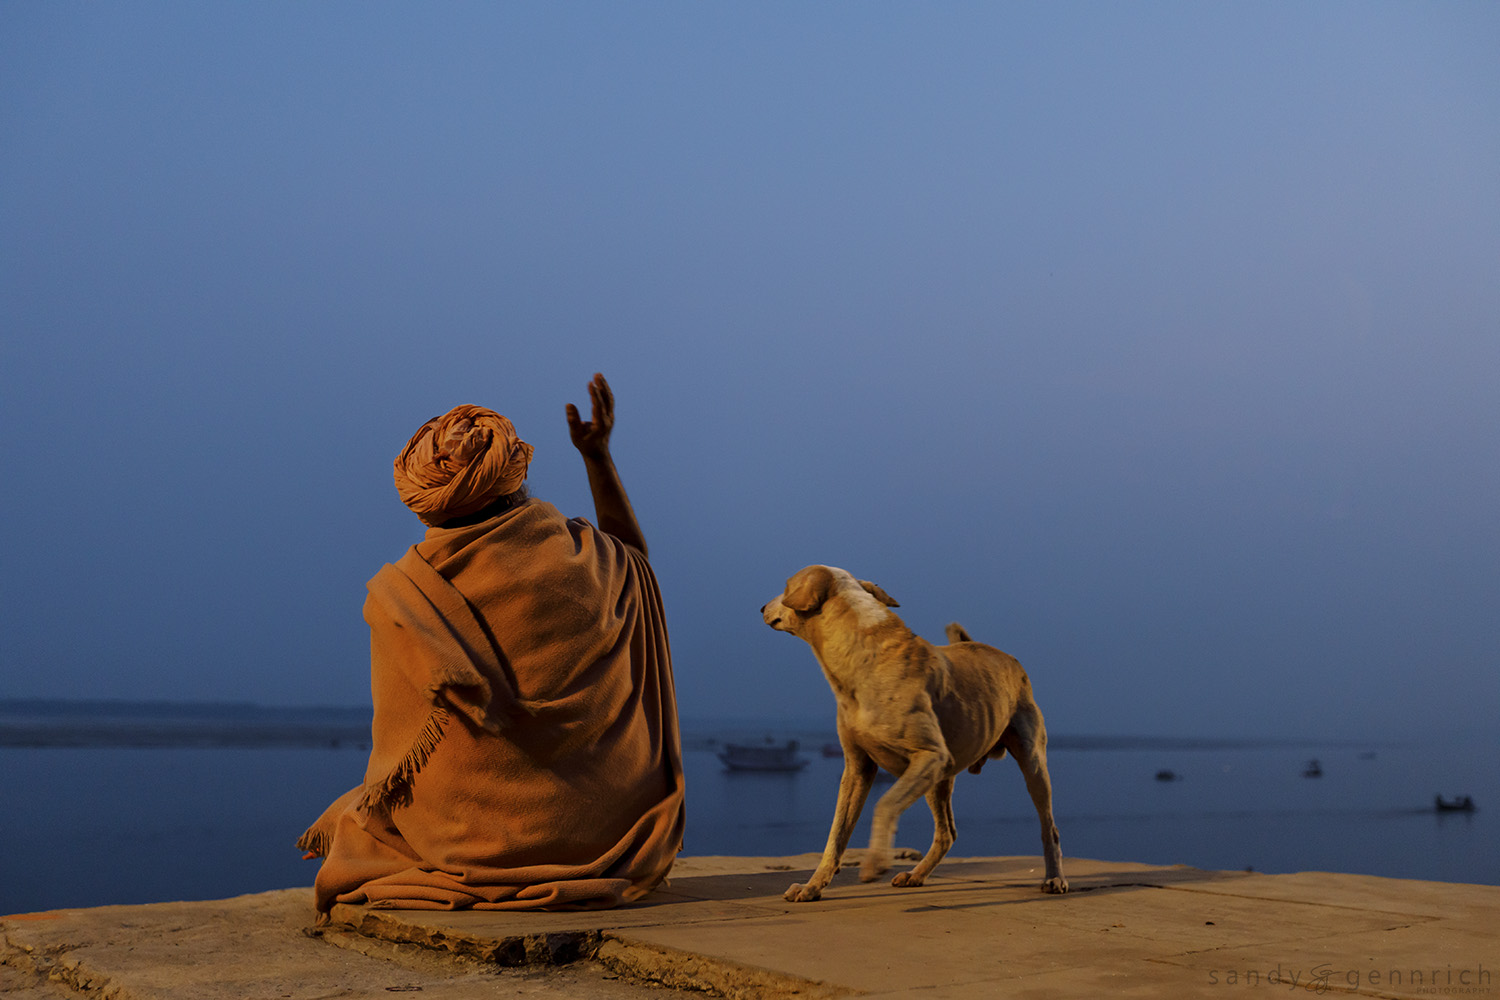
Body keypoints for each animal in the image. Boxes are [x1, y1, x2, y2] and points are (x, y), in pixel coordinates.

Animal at [762, 566, 1068, 905]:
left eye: (786, 587)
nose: (761, 608)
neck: (862, 657)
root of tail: (1004, 656)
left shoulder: (930, 756)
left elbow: (885, 804)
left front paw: (874, 863)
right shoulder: (857, 767)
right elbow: (837, 833)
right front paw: (812, 886)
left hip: (1030, 761)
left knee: (1049, 826)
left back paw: (1054, 879)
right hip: (939, 780)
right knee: (947, 833)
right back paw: (916, 875)